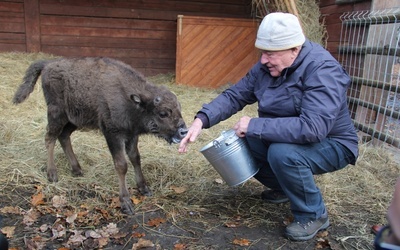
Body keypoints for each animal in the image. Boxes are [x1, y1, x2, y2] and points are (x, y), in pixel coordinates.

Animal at [12, 57, 188, 215]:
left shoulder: (131, 135)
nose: (183, 131)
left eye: (179, 109)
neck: (131, 100)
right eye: (163, 113)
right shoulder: (113, 135)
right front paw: (125, 202)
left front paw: (144, 188)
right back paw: (52, 174)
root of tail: (48, 64)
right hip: (57, 114)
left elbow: (135, 158)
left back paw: (77, 169)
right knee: (50, 138)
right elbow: (121, 165)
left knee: (63, 136)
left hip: (74, 120)